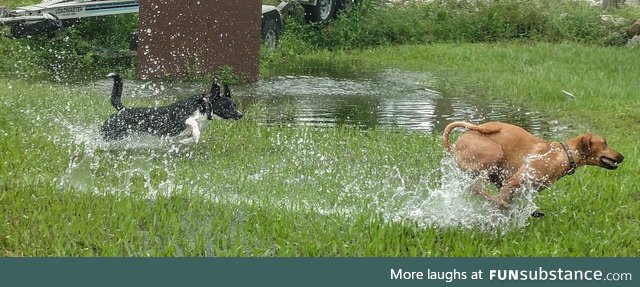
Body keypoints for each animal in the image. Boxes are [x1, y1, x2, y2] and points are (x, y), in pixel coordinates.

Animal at [101, 72, 244, 143]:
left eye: (235, 105)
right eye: (228, 106)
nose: (240, 115)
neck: (203, 106)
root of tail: (123, 109)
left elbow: (192, 136)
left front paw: (186, 141)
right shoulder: (182, 117)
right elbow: (194, 125)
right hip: (109, 133)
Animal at [442, 120, 624, 213]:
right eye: (605, 143)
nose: (622, 157)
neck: (563, 154)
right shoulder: (513, 182)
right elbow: (502, 201)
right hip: (494, 154)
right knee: (476, 187)